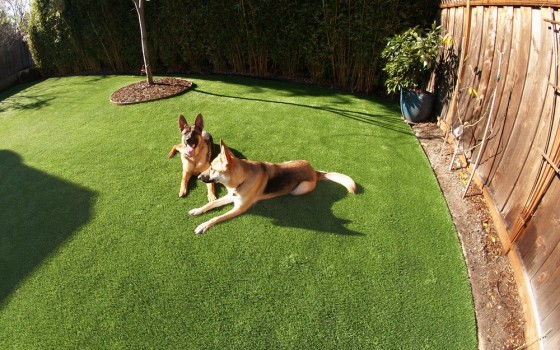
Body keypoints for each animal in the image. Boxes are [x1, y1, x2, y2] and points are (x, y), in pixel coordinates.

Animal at [187, 140, 354, 235]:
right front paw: (198, 210)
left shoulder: (239, 208)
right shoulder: (231, 196)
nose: (199, 177)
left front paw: (204, 225)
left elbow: (216, 217)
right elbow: (212, 204)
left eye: (213, 169)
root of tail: (314, 171)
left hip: (299, 189)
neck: (242, 178)